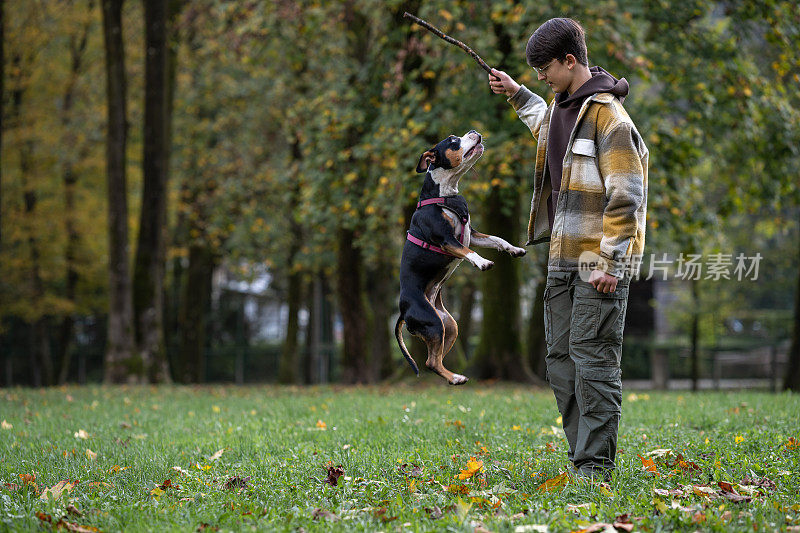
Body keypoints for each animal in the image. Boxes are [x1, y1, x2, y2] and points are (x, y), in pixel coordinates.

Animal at [396, 130, 528, 384]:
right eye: (453, 140)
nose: (474, 132)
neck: (445, 193)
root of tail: (402, 311)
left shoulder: (472, 234)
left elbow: (496, 239)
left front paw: (514, 249)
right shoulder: (447, 240)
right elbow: (468, 252)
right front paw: (483, 262)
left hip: (449, 326)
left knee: (434, 360)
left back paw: (454, 377)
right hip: (433, 323)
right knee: (430, 362)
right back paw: (456, 378)